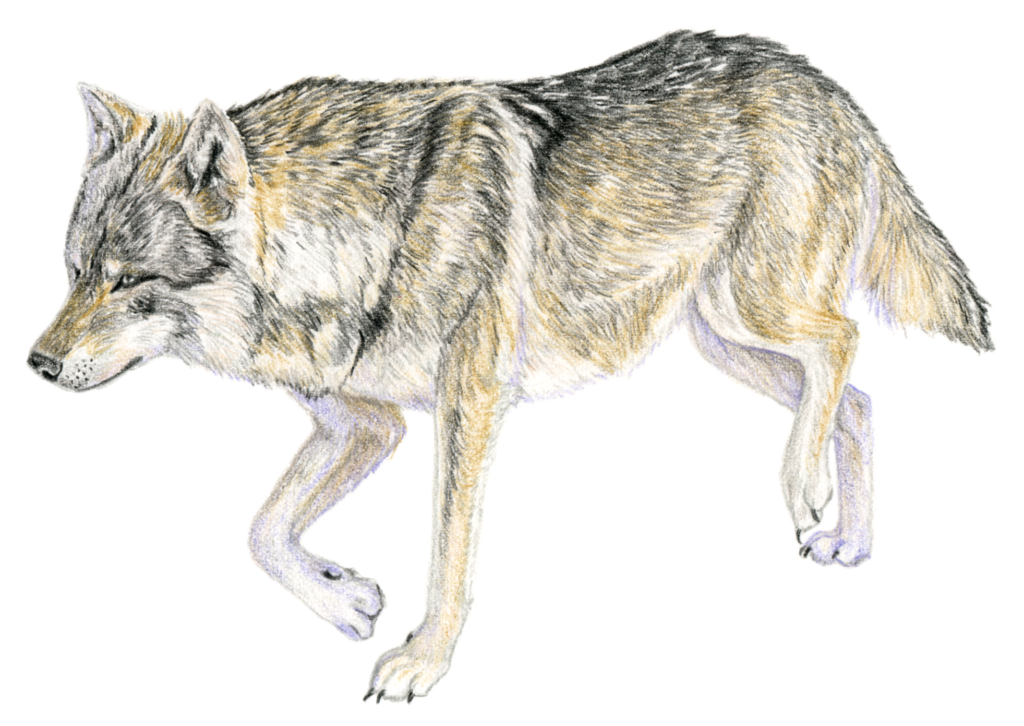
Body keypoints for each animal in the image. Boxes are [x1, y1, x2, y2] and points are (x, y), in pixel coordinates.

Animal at [26, 28, 995, 703]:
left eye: (129, 281)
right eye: (74, 272)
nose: (36, 365)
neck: (362, 235)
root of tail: (820, 79)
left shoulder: (469, 408)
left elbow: (449, 557)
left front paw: (420, 661)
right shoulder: (367, 424)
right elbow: (264, 532)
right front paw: (348, 600)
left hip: (749, 312)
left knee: (846, 348)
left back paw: (804, 490)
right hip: (725, 344)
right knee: (859, 403)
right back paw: (849, 541)